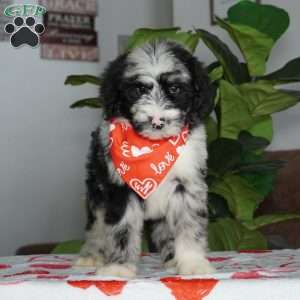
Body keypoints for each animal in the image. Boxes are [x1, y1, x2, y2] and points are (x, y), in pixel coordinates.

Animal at [75, 41, 216, 278]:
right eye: (138, 90)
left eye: (175, 89)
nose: (157, 121)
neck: (153, 146)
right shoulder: (120, 188)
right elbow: (122, 229)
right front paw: (119, 267)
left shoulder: (187, 184)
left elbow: (188, 225)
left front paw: (192, 263)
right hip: (96, 189)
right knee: (96, 225)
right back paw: (91, 254)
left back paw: (172, 258)